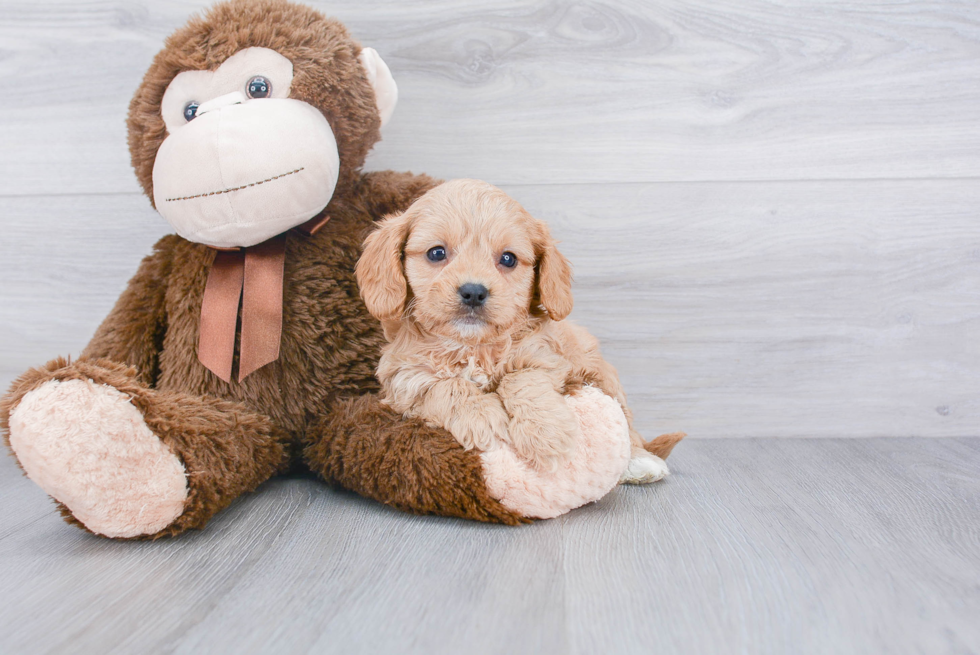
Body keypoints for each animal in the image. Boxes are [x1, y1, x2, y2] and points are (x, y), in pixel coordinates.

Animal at [356, 179, 668, 482]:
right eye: (436, 253)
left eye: (508, 259)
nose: (473, 292)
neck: (472, 346)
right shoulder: (403, 379)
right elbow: (448, 386)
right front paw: (482, 416)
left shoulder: (544, 357)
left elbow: (521, 379)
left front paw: (546, 433)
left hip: (602, 375)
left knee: (627, 423)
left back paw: (640, 462)